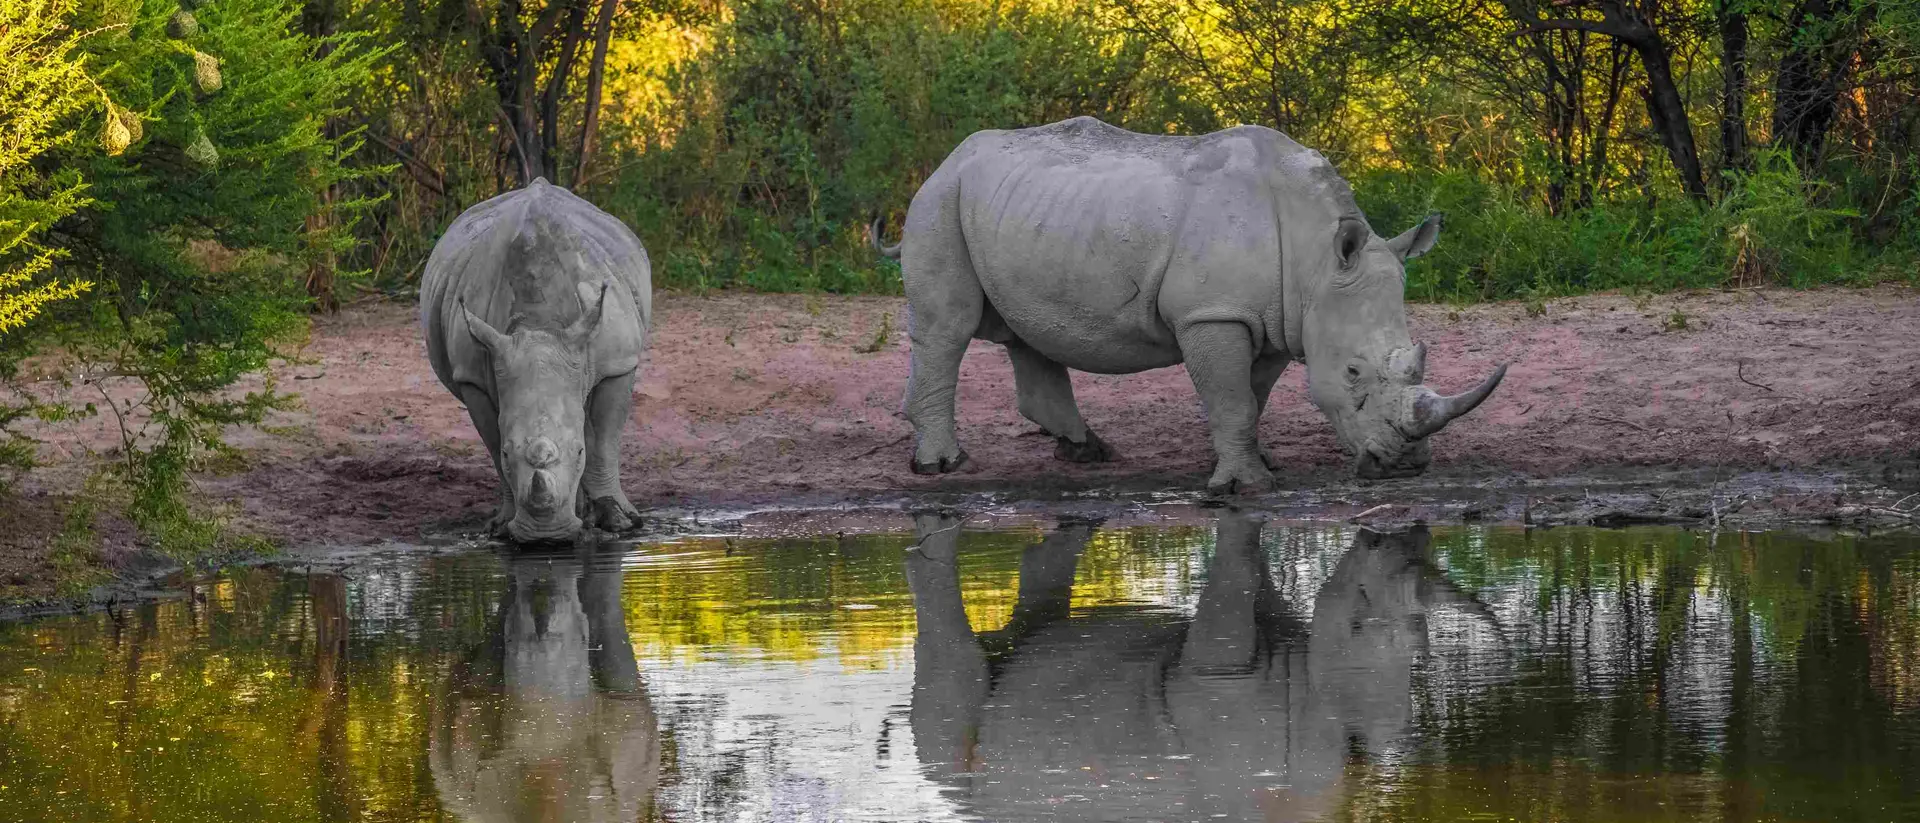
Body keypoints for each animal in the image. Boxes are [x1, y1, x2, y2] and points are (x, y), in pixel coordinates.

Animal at [422, 178, 651, 542]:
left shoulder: (618, 362)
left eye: (578, 452)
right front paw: (502, 524)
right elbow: (493, 444)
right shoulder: (472, 375)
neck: (539, 325)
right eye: (508, 453)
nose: (547, 537)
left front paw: (618, 521)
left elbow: (603, 442)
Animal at [875, 117, 1506, 490]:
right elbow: (1232, 397)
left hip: (1016, 209)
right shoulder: (1214, 312)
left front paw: (1251, 463)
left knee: (1028, 331)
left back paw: (1087, 453)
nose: (1404, 466)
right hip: (940, 203)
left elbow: (1251, 396)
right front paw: (1245, 486)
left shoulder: (1275, 319)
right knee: (948, 329)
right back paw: (942, 466)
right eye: (1353, 372)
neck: (1317, 260)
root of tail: (948, 159)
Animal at [905, 511, 1496, 821]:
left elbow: (1256, 577)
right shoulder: (1220, 674)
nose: (1387, 533)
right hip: (963, 782)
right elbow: (1237, 586)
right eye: (1354, 623)